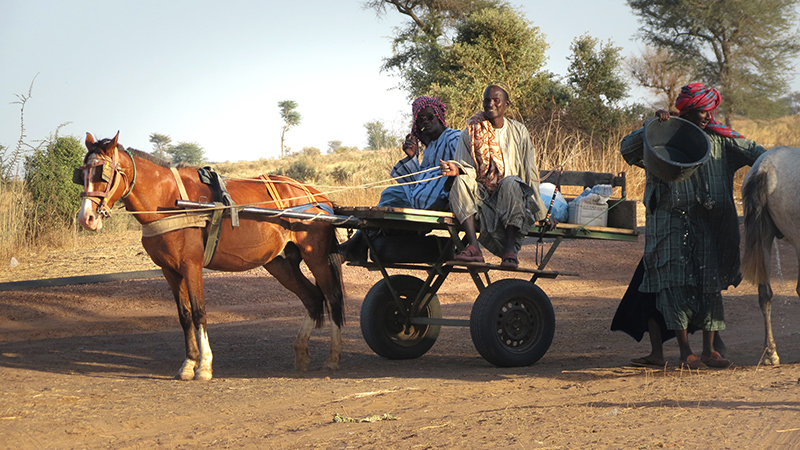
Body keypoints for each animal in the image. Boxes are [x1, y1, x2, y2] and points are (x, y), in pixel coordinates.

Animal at [76, 132, 346, 378]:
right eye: (82, 174)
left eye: (103, 173)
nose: (86, 218)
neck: (171, 201)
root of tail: (315, 194)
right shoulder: (170, 271)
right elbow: (184, 316)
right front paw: (188, 364)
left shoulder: (191, 266)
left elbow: (199, 313)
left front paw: (204, 366)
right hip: (280, 263)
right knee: (312, 298)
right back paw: (301, 354)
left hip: (316, 257)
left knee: (332, 298)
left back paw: (333, 358)